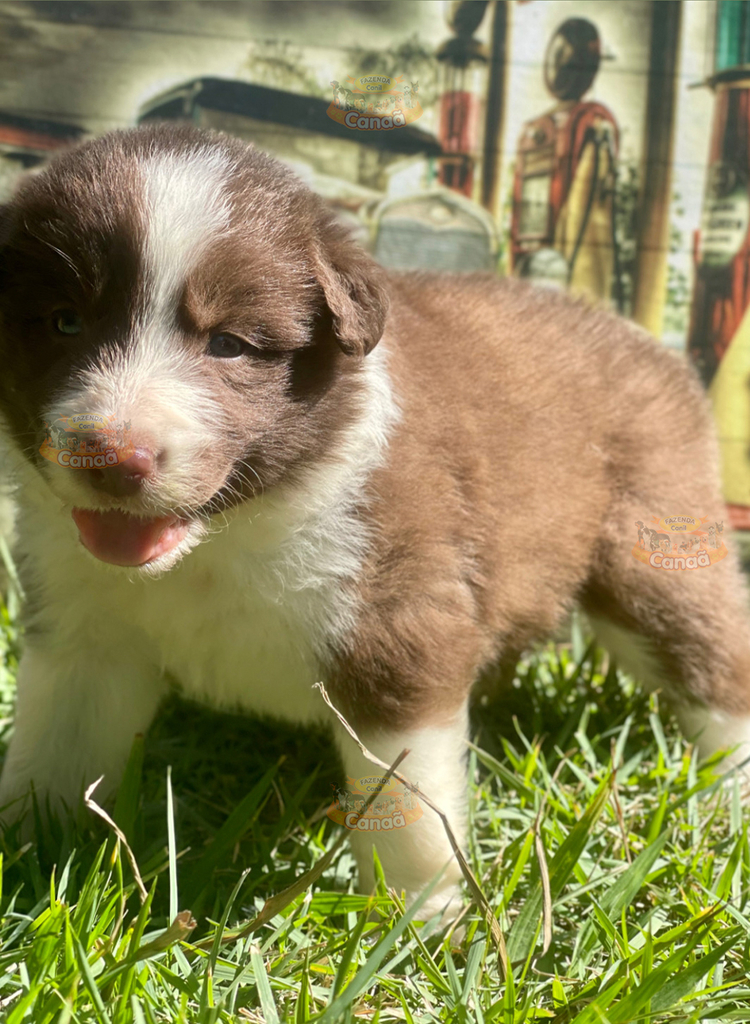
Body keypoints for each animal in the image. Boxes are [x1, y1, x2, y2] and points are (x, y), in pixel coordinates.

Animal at [1, 121, 750, 921]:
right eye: (65, 322)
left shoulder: (395, 626)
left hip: (653, 550)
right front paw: (26, 860)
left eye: (229, 343)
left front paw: (417, 920)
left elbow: (408, 802)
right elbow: (56, 750)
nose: (114, 460)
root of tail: (645, 342)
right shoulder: (81, 633)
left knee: (712, 657)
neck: (226, 538)